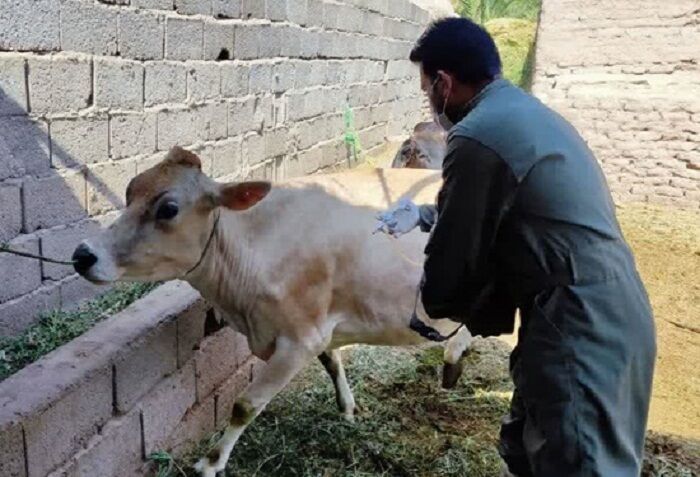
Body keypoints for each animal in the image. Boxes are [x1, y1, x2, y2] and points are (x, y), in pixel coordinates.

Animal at [72, 147, 470, 474]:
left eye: (168, 208)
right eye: (129, 191)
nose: (82, 254)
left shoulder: (300, 339)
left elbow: (245, 405)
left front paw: (210, 463)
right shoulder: (318, 329)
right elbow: (333, 362)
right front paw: (348, 408)